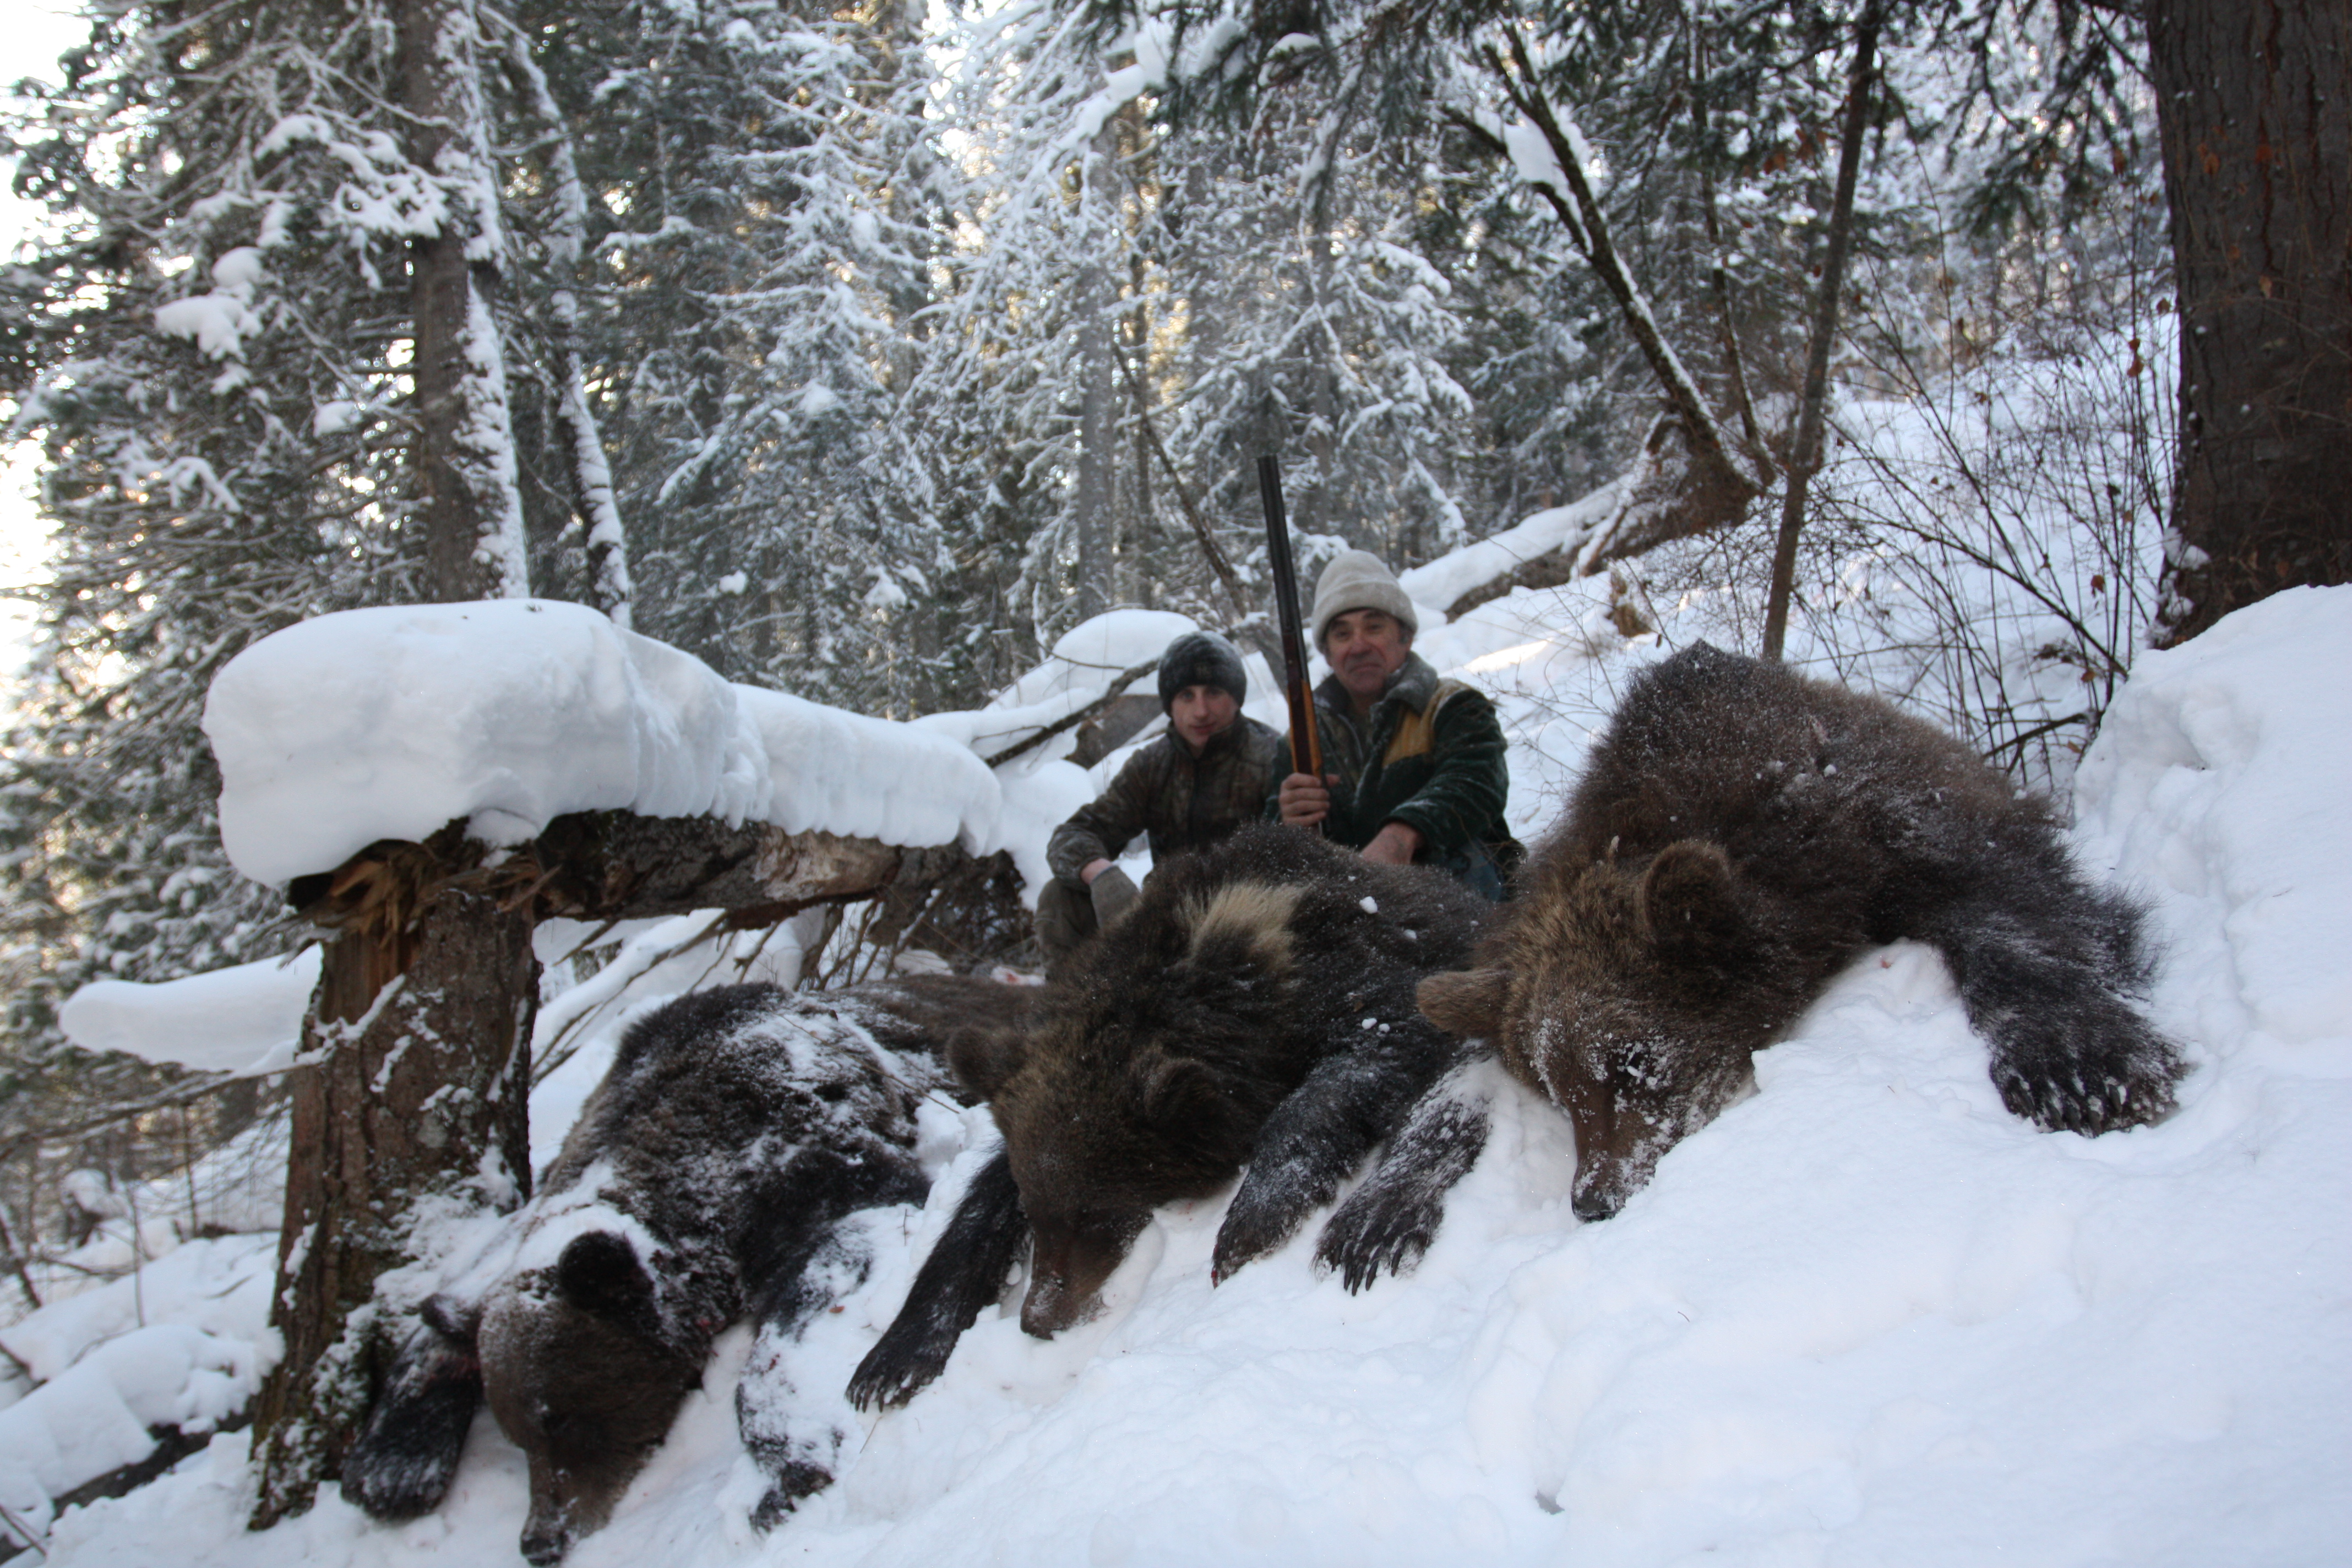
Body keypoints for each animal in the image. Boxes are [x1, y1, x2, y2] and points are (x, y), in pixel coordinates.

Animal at [339, 973, 1030, 1561]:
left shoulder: (810, 1158)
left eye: (561, 1418)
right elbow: (458, 1296)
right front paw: (392, 1464)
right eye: (518, 1436)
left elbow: (838, 1260)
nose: (540, 1542)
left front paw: (786, 1472)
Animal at [846, 823, 1486, 1410]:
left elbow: (1368, 1055)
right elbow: (980, 1205)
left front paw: (1250, 1222)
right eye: (1037, 1211)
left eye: (1098, 1214)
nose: (1039, 1319)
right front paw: (891, 1361)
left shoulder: (1360, 974)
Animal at [1411, 639, 2182, 1222]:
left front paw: (2082, 1071)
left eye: (1632, 1061)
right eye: (1552, 1087)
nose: (1595, 1200)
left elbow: (2007, 900)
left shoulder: (1886, 815)